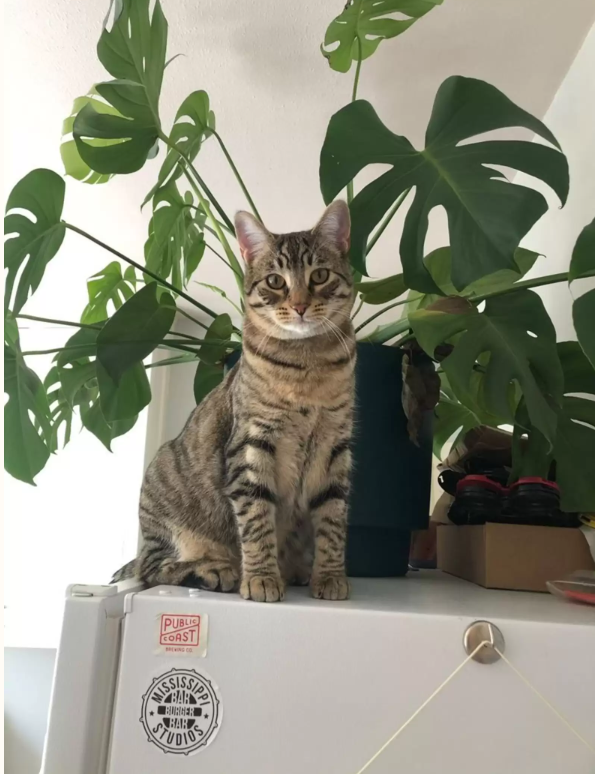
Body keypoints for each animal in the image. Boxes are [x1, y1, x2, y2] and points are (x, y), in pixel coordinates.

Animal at [111, 199, 354, 600]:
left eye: (319, 276)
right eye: (275, 281)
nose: (300, 306)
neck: (307, 364)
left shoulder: (336, 446)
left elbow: (333, 521)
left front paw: (331, 577)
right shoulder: (252, 444)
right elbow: (256, 521)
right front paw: (261, 578)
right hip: (164, 491)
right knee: (154, 568)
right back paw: (217, 571)